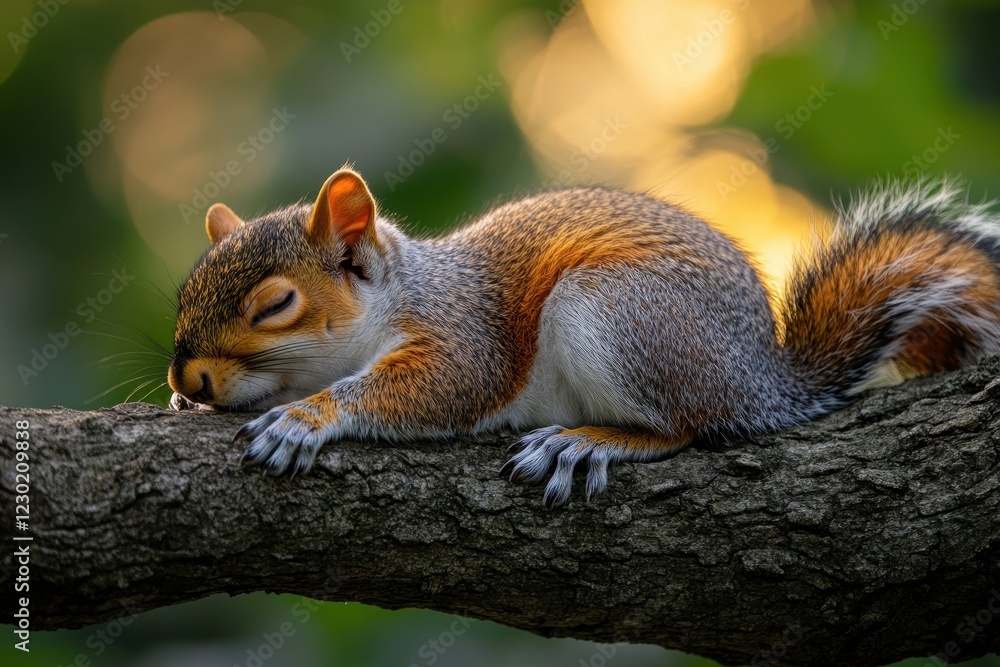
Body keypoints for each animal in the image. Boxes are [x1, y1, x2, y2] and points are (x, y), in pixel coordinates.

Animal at [168, 167, 1000, 507]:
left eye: (277, 303)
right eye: (184, 291)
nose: (185, 379)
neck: (405, 291)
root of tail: (762, 378)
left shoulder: (465, 335)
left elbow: (436, 385)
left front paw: (309, 417)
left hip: (619, 315)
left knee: (687, 428)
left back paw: (588, 441)